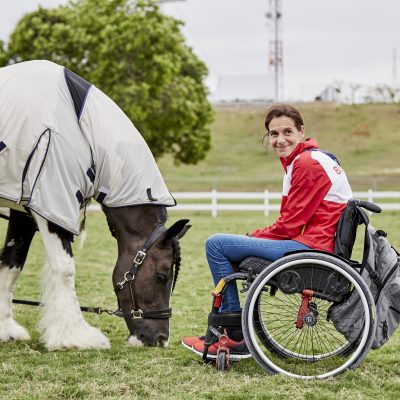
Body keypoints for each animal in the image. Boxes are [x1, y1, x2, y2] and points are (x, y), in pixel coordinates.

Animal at [0, 59, 191, 350]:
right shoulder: (52, 203)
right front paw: (74, 336)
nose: (160, 340)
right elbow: (65, 269)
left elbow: (12, 263)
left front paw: (5, 328)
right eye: (162, 276)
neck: (80, 127)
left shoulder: (23, 208)